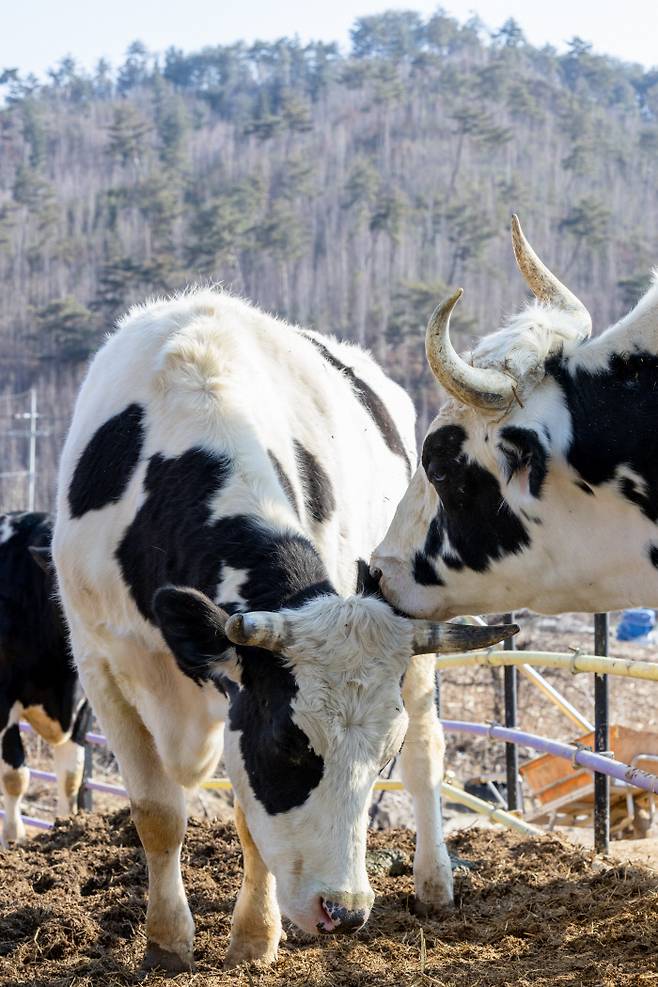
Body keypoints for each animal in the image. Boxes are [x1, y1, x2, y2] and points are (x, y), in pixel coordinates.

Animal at [52, 290, 512, 976]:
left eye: (382, 753)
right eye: (290, 744)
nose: (344, 911)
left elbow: (249, 822)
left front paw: (254, 938)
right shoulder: (100, 661)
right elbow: (158, 813)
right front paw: (167, 940)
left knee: (429, 757)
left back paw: (434, 882)